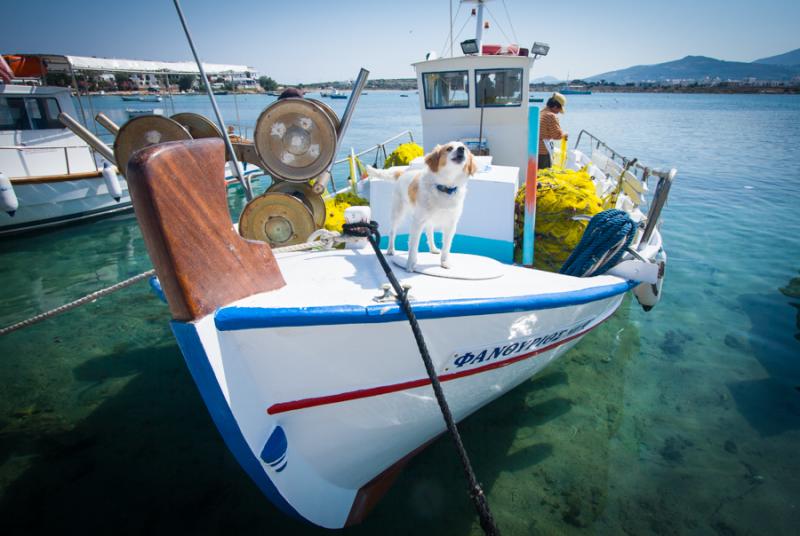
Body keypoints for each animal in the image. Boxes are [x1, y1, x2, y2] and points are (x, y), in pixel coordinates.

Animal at [368, 141, 476, 272]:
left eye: (464, 148)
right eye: (449, 148)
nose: (461, 149)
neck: (445, 187)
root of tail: (402, 173)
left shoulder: (451, 224)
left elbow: (446, 246)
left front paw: (444, 262)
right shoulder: (417, 222)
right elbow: (413, 246)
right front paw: (410, 264)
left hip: (428, 219)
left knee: (429, 232)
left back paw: (433, 249)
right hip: (397, 213)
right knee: (392, 232)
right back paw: (390, 250)